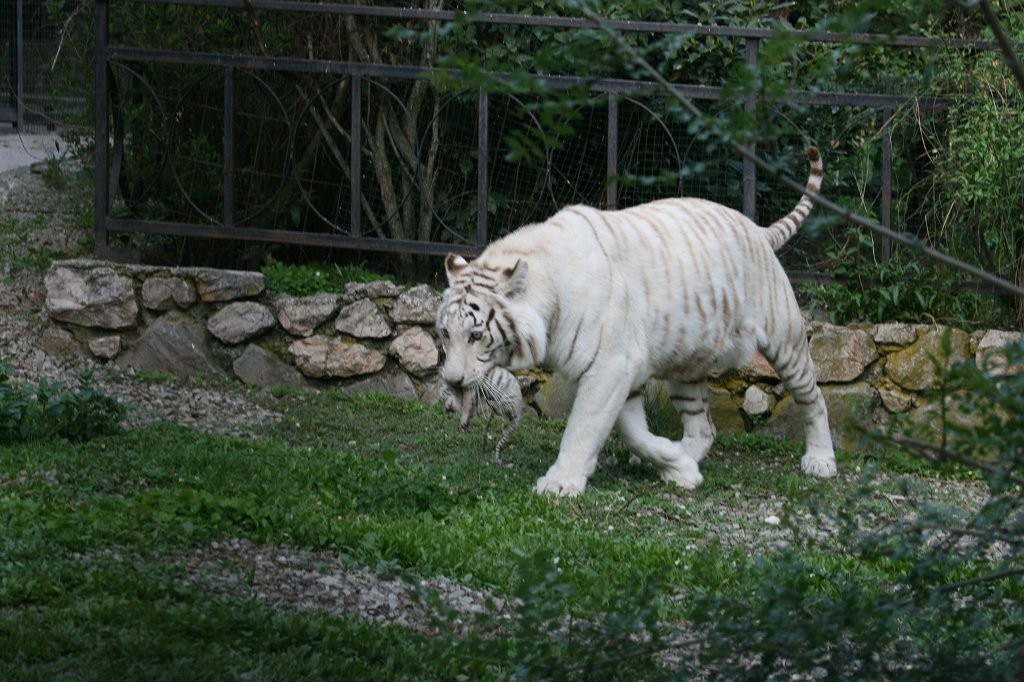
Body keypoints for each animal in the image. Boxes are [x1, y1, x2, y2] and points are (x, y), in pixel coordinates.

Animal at [436, 147, 835, 493]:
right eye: (444, 334)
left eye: (475, 335)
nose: (452, 381)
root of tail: (756, 228)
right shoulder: (621, 373)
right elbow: (633, 432)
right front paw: (676, 466)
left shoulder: (610, 365)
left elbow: (583, 427)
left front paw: (560, 483)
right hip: (685, 363)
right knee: (703, 426)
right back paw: (686, 461)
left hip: (785, 337)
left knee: (813, 397)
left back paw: (821, 461)